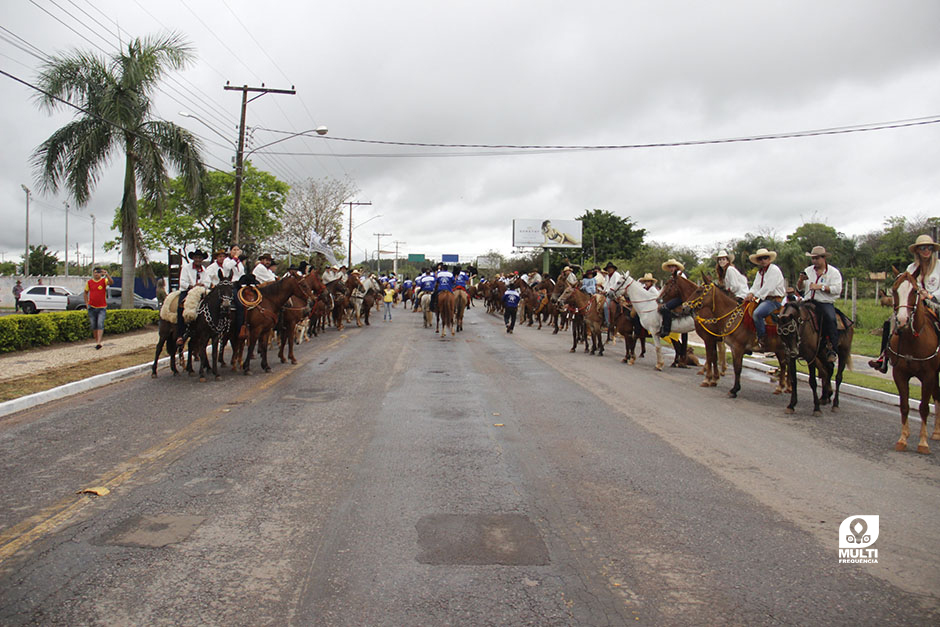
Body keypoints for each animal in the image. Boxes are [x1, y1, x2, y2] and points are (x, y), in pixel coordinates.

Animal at [888, 272, 940, 454]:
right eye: (894, 290)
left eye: (915, 291)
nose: (902, 320)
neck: (912, 340)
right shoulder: (899, 374)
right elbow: (904, 406)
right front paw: (902, 439)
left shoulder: (928, 376)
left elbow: (924, 408)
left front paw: (923, 443)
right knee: (937, 396)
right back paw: (936, 432)